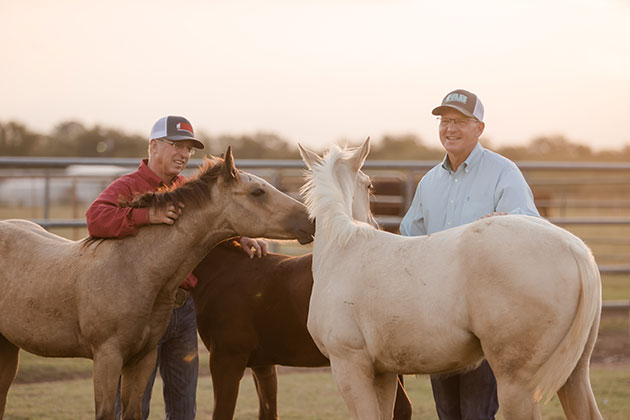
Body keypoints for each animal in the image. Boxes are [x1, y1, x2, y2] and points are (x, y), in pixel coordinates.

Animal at [0, 146, 316, 418]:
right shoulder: (107, 358)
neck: (133, 269)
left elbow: (133, 412)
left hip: (8, 348)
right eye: (257, 191)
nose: (311, 220)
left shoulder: (143, 358)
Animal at [298, 140, 604, 420]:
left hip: (517, 385)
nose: (373, 222)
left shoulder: (350, 367)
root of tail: (574, 248)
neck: (343, 249)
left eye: (369, 184)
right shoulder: (383, 373)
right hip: (575, 374)